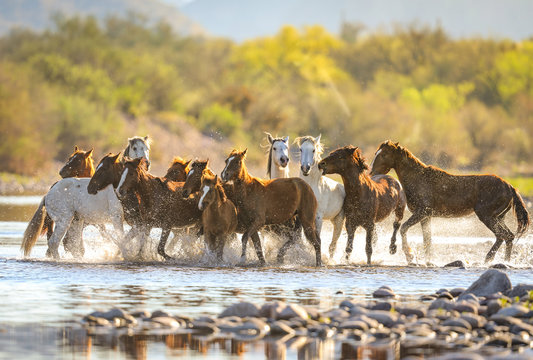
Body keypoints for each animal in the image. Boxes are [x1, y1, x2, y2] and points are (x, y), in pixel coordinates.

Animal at [20, 136, 150, 258]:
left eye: (146, 148)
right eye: (134, 148)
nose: (146, 163)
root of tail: (48, 194)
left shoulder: (136, 220)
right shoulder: (116, 218)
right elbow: (122, 239)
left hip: (76, 221)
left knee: (70, 244)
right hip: (64, 221)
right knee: (54, 242)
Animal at [370, 141, 528, 264]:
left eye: (383, 154)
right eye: (376, 152)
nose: (371, 173)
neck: (418, 179)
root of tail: (510, 187)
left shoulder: (422, 212)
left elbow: (403, 228)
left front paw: (408, 255)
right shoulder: (426, 216)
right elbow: (427, 241)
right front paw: (428, 261)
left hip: (487, 216)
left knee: (504, 235)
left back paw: (493, 260)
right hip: (499, 217)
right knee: (507, 236)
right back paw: (500, 261)